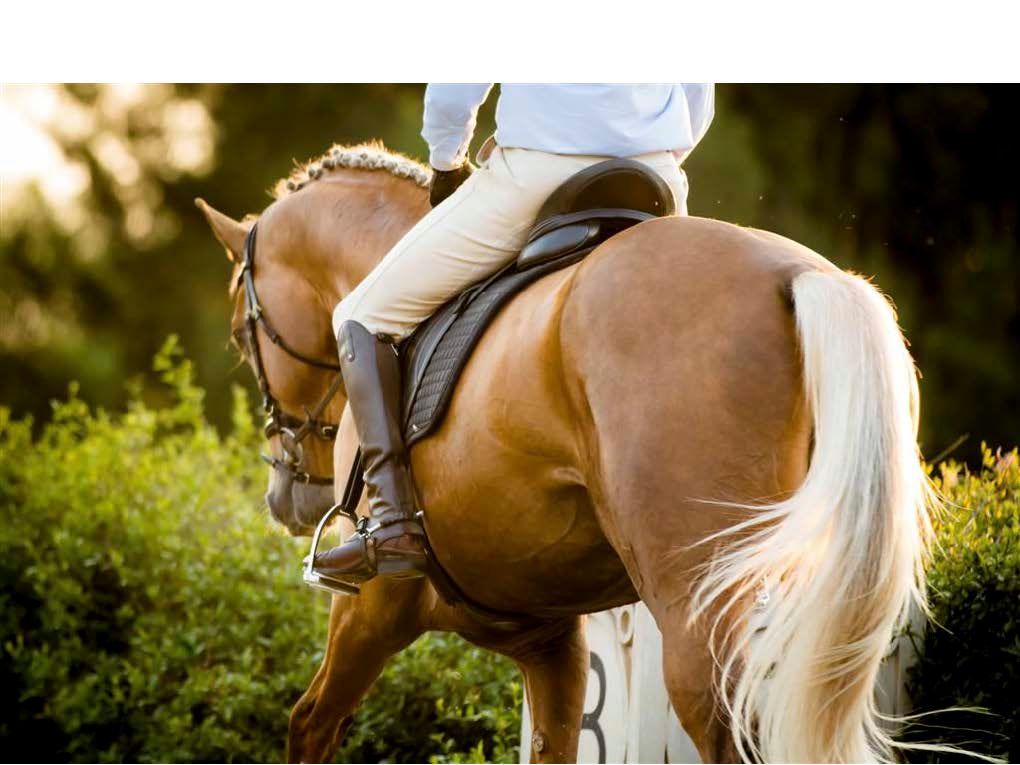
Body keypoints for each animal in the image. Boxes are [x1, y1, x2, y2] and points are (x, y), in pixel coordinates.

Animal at [197, 142, 934, 763]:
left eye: (239, 334)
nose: (288, 496)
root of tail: (796, 274)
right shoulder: (550, 640)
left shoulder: (372, 607)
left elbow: (311, 723)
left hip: (699, 612)